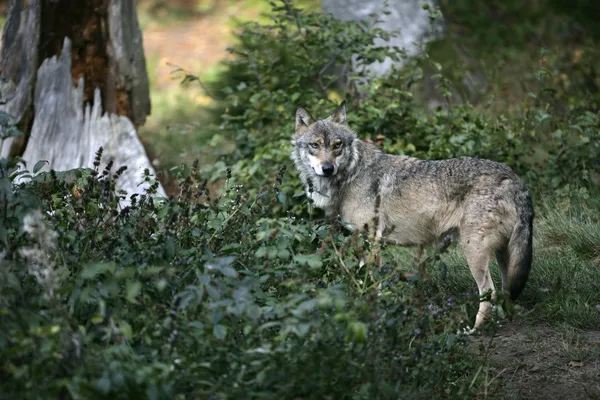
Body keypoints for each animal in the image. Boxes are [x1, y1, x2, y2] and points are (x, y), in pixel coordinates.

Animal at [290, 101, 536, 332]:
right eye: (315, 145)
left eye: (337, 145)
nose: (327, 168)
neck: (351, 174)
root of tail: (515, 179)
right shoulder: (362, 242)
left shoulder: (373, 240)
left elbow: (373, 286)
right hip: (503, 254)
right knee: (505, 292)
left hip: (474, 251)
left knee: (489, 293)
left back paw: (473, 330)